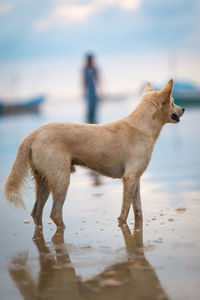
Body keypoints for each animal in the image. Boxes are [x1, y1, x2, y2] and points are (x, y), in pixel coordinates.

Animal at [3, 79, 184, 227]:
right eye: (173, 102)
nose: (183, 108)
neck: (143, 125)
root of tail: (34, 134)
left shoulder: (136, 179)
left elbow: (138, 209)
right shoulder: (130, 177)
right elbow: (125, 211)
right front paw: (122, 223)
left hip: (44, 180)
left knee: (36, 212)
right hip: (61, 178)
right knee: (55, 213)